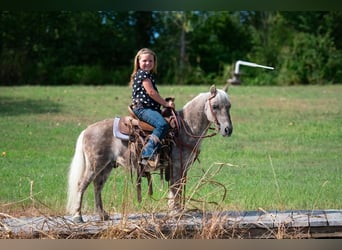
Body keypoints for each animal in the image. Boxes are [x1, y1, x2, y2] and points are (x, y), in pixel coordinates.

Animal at [67, 85, 232, 223]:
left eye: (229, 106)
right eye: (215, 106)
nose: (227, 130)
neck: (186, 128)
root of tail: (87, 130)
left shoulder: (182, 167)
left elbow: (177, 188)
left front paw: (177, 211)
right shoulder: (177, 166)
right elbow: (175, 188)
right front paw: (175, 212)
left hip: (106, 166)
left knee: (97, 186)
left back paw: (102, 215)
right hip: (94, 165)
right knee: (82, 185)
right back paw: (78, 216)